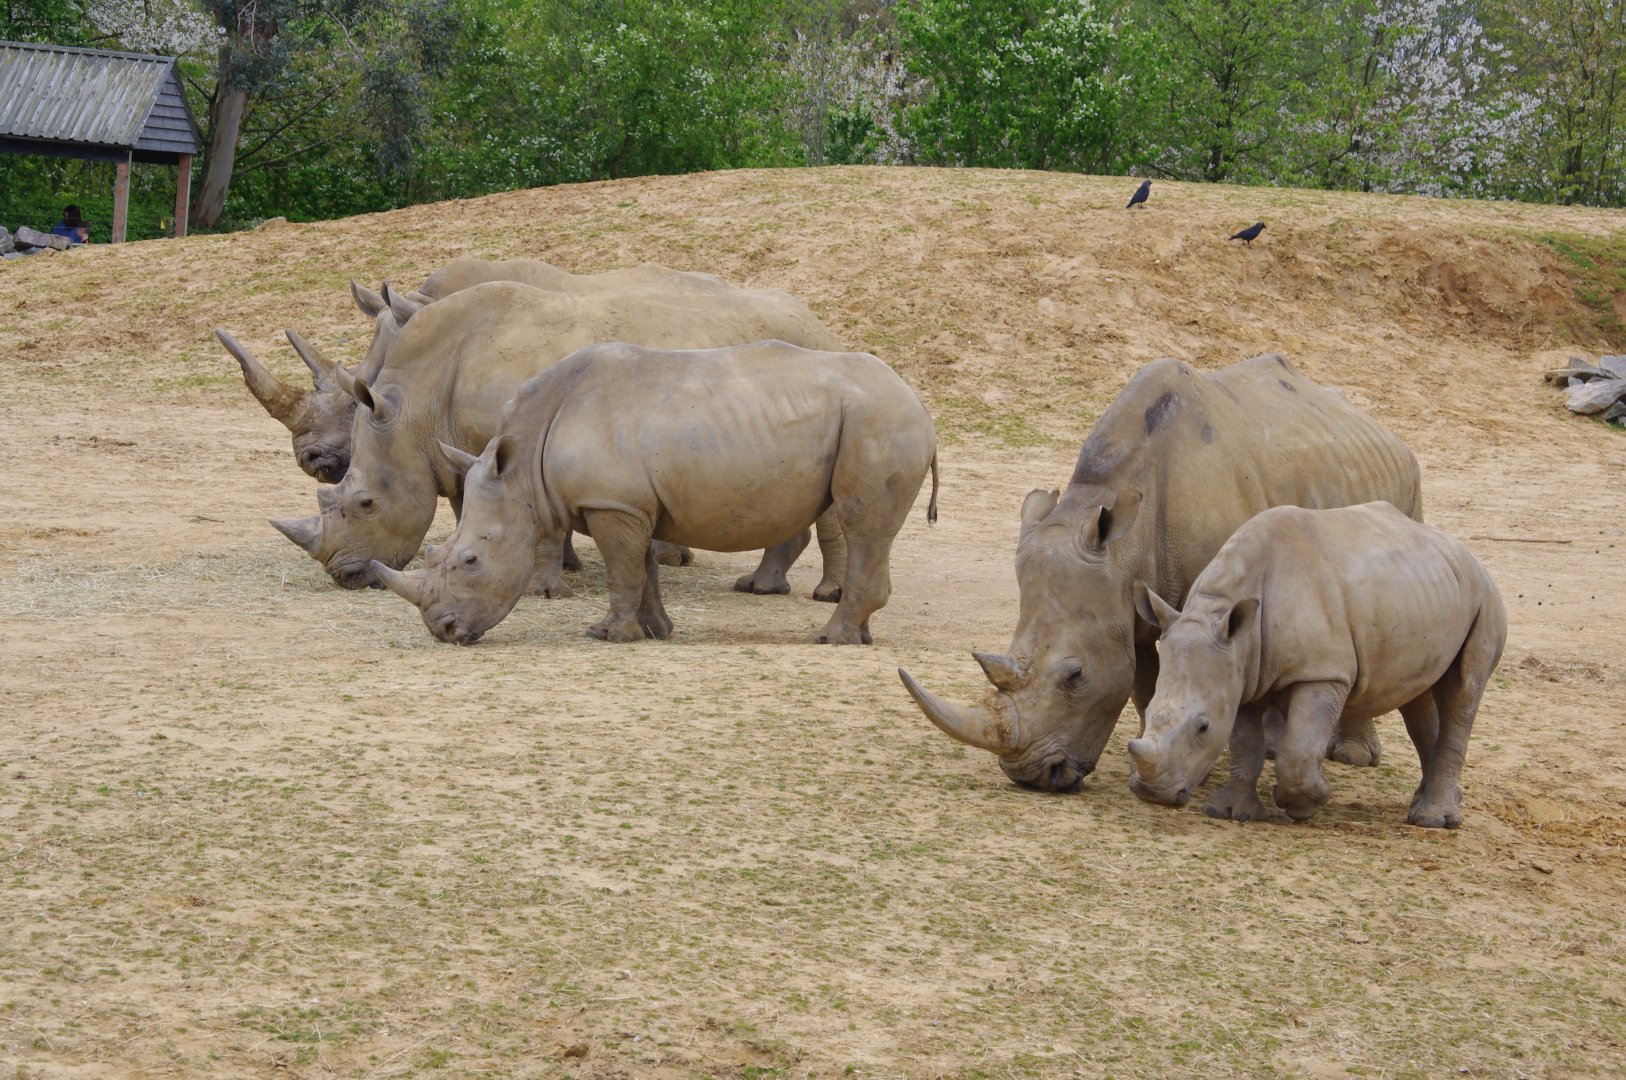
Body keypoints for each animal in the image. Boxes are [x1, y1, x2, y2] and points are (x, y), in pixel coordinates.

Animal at [266, 280, 857, 593]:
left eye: (366, 502)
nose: (344, 575)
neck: (421, 403)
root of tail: (824, 326)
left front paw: (539, 587)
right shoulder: (463, 445)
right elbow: (468, 506)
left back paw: (826, 594)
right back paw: (764, 586)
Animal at [369, 340, 939, 646]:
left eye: (469, 561)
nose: (443, 630)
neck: (522, 469)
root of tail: (921, 405)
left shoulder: (611, 503)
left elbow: (621, 571)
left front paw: (606, 635)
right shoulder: (630, 503)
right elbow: (641, 569)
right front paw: (655, 630)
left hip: (880, 422)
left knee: (863, 526)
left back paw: (828, 639)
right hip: (877, 421)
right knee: (869, 533)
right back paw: (857, 637)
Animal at [899, 354, 1423, 792]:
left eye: (1075, 675)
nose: (1033, 776)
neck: (1123, 546)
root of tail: (1383, 430)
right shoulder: (1130, 605)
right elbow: (1146, 684)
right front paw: (1153, 746)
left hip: (1406, 488)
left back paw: (1352, 757)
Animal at [1128, 502, 1506, 827]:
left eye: (1203, 727)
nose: (1152, 794)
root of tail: (1470, 557)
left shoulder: (1322, 673)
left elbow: (1298, 750)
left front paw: (1305, 803)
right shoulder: (1241, 675)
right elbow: (1245, 745)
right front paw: (1232, 811)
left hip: (1486, 598)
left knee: (1463, 693)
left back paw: (1433, 820)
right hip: (1427, 592)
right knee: (1418, 697)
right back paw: (1433, 802)